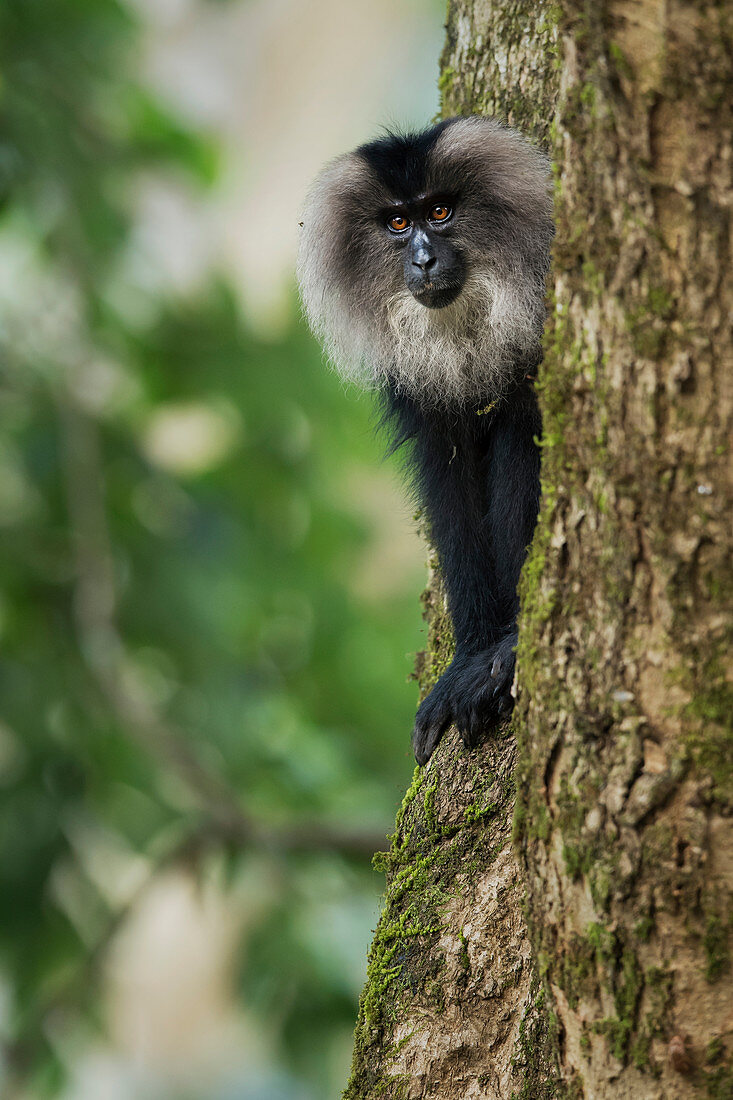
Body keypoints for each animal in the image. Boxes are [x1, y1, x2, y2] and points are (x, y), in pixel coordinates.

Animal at [294, 113, 550, 765]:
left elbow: (526, 443)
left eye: (440, 213)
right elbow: (449, 485)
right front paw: (470, 657)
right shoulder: (428, 411)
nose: (424, 259)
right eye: (397, 223)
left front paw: (505, 651)